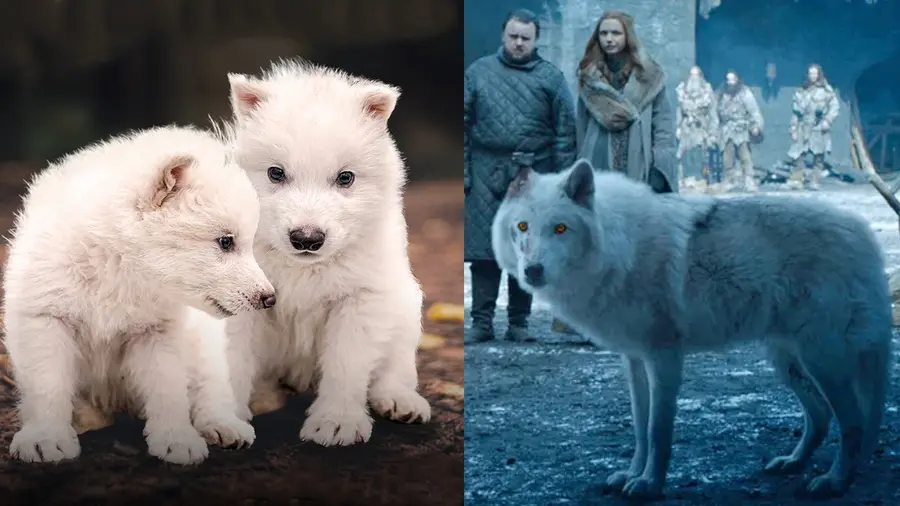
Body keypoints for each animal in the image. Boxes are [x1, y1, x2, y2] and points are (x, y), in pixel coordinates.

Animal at [2, 126, 274, 465]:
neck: (118, 266)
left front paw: (175, 439)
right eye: (225, 242)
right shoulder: (46, 318)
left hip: (202, 343)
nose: (269, 297)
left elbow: (167, 388)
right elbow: (47, 383)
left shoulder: (158, 331)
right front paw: (46, 438)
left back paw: (223, 424)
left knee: (212, 386)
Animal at [222, 60, 431, 447]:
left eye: (345, 178)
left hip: (405, 304)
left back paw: (400, 400)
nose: (306, 239)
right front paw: (224, 419)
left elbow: (347, 364)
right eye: (276, 173)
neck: (303, 268)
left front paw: (336, 423)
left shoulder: (360, 299)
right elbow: (230, 361)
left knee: (396, 365)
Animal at [491, 158, 892, 500]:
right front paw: (631, 474)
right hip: (787, 361)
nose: (533, 270)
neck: (620, 248)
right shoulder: (633, 360)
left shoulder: (664, 357)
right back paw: (793, 463)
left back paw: (835, 481)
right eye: (522, 227)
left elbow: (658, 431)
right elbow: (639, 427)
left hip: (821, 360)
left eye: (560, 228)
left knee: (853, 422)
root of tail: (863, 231)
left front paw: (649, 485)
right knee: (821, 417)